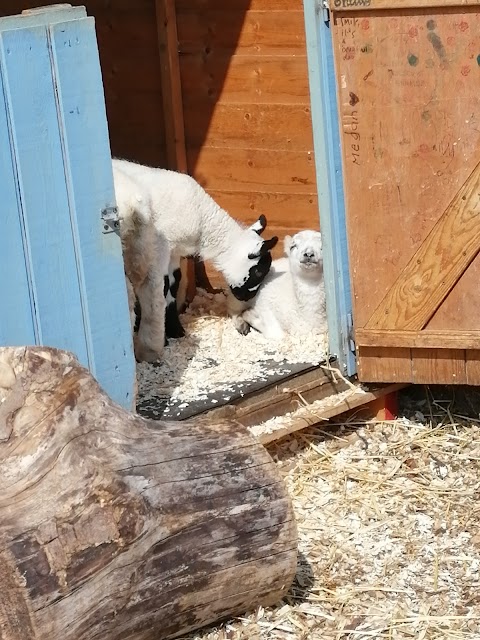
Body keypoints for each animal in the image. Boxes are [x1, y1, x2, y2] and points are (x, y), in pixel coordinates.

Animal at [112, 158, 278, 362]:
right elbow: (163, 287)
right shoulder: (161, 247)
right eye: (258, 271)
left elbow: (174, 284)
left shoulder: (174, 252)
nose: (246, 298)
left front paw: (176, 331)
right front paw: (165, 337)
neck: (203, 222)